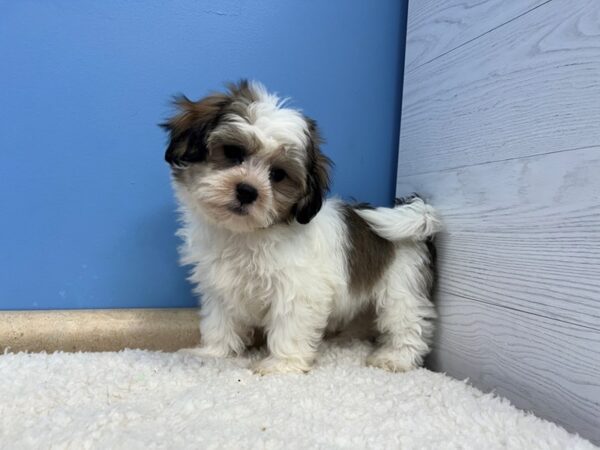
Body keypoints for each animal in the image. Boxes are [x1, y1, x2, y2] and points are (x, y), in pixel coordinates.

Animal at [161, 81, 440, 376]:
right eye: (233, 153)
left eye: (278, 175)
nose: (247, 191)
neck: (246, 234)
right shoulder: (220, 287)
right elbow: (220, 320)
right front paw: (213, 353)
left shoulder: (298, 288)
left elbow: (289, 325)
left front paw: (281, 364)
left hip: (402, 286)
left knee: (408, 322)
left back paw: (395, 358)